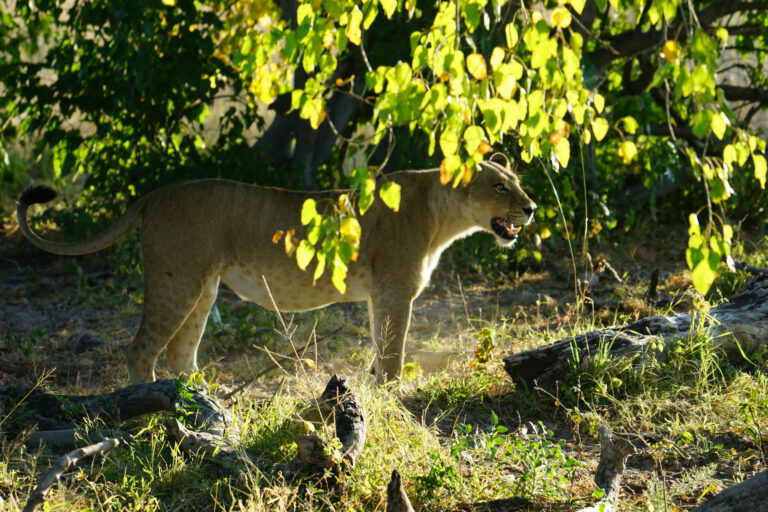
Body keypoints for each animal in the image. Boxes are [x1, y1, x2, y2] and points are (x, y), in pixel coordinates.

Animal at [16, 154, 536, 382]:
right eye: (500, 187)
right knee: (141, 351)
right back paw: (150, 413)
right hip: (175, 283)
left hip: (202, 289)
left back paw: (199, 409)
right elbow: (392, 354)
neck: (442, 218)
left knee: (181, 355)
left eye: (516, 183)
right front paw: (394, 396)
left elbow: (377, 350)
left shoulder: (380, 296)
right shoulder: (394, 291)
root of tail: (152, 196)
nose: (531, 209)